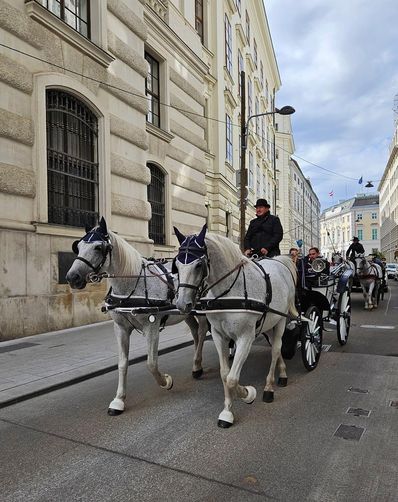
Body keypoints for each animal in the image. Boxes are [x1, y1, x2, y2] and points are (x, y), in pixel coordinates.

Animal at [64, 218, 208, 414]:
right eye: (77, 247)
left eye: (98, 248)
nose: (72, 277)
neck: (132, 285)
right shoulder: (121, 329)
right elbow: (122, 363)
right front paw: (118, 400)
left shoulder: (152, 327)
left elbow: (151, 363)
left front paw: (166, 381)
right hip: (185, 311)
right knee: (195, 332)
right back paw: (196, 364)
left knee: (202, 332)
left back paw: (198, 365)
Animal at [174, 226, 298, 428]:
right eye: (176, 265)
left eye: (199, 265)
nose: (182, 304)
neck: (229, 292)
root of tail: (281, 262)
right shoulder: (219, 335)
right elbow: (225, 374)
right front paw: (227, 412)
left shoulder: (245, 338)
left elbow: (233, 379)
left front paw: (248, 394)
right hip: (268, 323)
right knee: (275, 347)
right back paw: (283, 373)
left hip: (280, 320)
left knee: (276, 349)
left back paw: (269, 388)